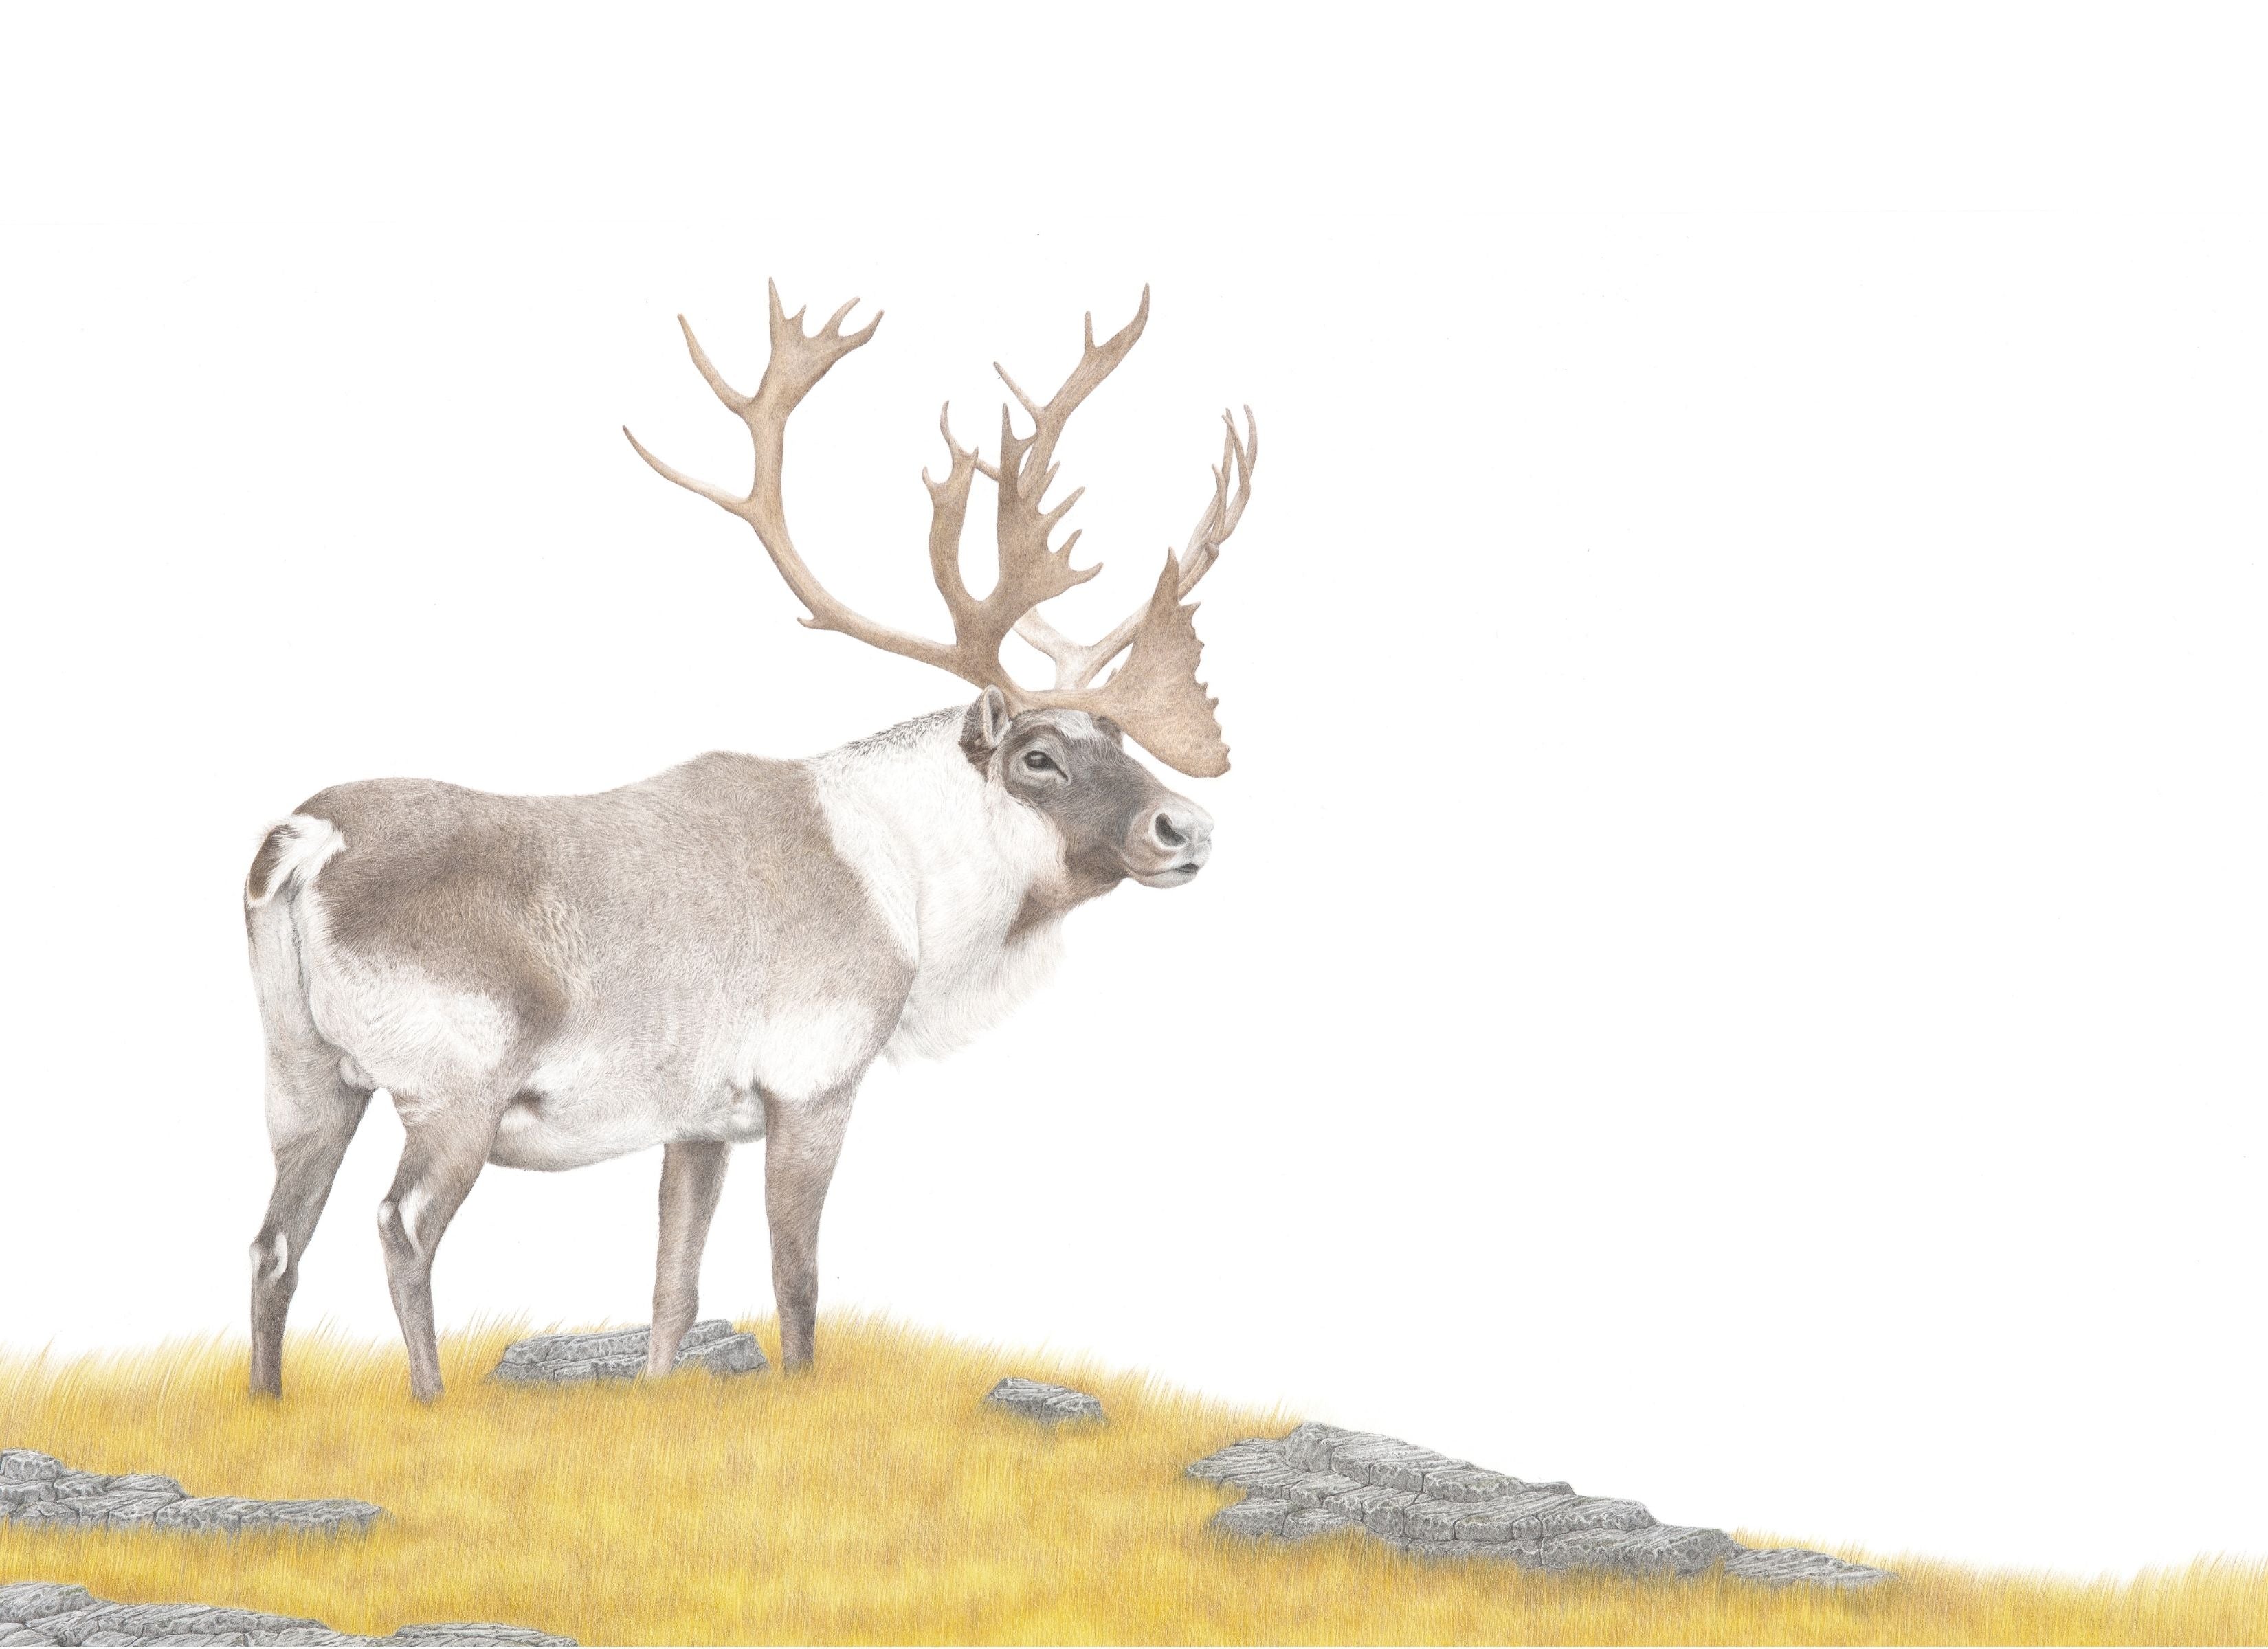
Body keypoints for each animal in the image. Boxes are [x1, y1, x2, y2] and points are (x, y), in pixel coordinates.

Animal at [242, 283, 1255, 1401]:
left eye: (1118, 737)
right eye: (1039, 754)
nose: (1187, 826)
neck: (910, 893)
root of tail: (305, 841)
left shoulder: (697, 1121)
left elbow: (673, 1287)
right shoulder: (812, 1083)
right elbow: (798, 1282)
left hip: (304, 1075)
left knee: (274, 1242)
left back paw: (269, 1404)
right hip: (451, 1089)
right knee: (402, 1227)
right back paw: (428, 1403)